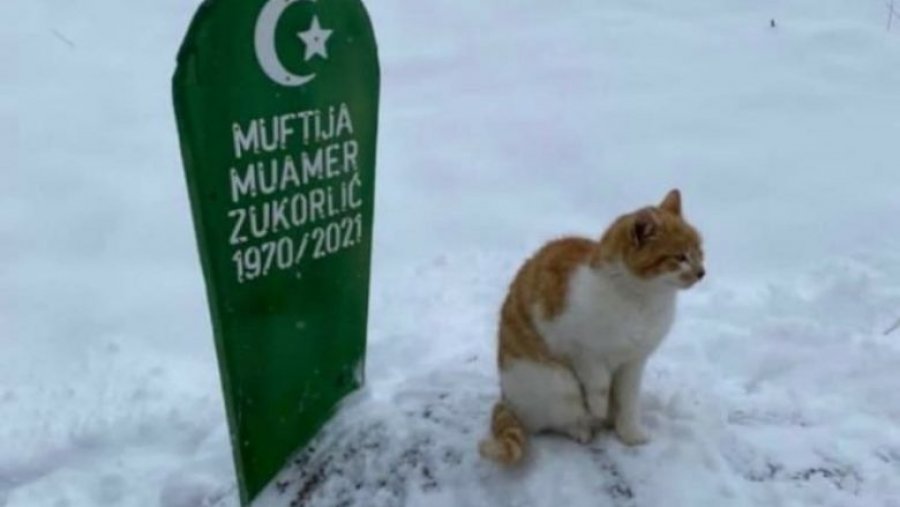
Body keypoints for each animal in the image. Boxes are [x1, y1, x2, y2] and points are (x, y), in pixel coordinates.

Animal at [478, 190, 704, 464]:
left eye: (700, 251)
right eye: (680, 257)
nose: (702, 272)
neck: (642, 300)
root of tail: (505, 398)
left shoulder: (634, 362)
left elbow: (628, 400)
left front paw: (630, 432)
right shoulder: (579, 348)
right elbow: (599, 384)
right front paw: (599, 406)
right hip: (557, 382)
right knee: (557, 419)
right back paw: (583, 428)